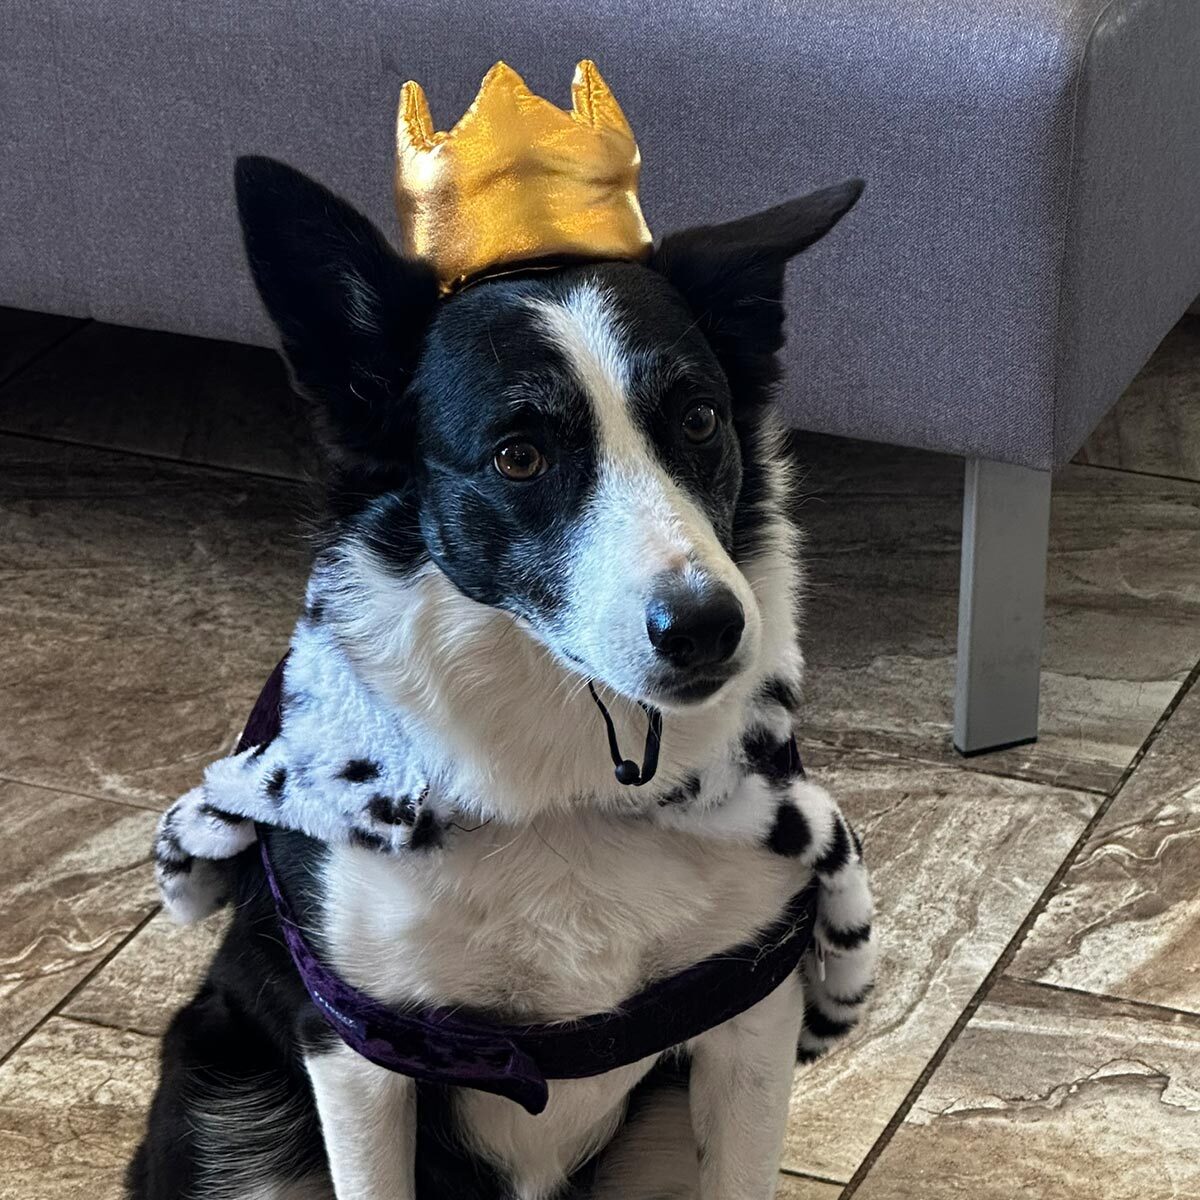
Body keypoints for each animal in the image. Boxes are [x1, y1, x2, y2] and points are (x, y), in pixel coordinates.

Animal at [131, 159, 878, 1200]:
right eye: (519, 455)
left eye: (698, 419)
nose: (706, 628)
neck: (564, 779)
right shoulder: (358, 1051)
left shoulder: (748, 1020)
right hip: (228, 1107)